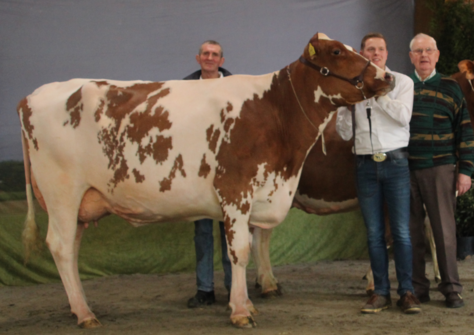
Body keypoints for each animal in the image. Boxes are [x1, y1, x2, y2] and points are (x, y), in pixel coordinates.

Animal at [18, 32, 392, 330]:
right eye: (337, 52)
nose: (386, 75)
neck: (275, 112)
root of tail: (33, 96)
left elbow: (245, 247)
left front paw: (247, 302)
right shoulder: (236, 190)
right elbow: (239, 250)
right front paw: (241, 311)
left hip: (82, 202)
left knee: (71, 249)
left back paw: (76, 307)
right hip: (62, 193)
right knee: (61, 247)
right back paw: (85, 313)